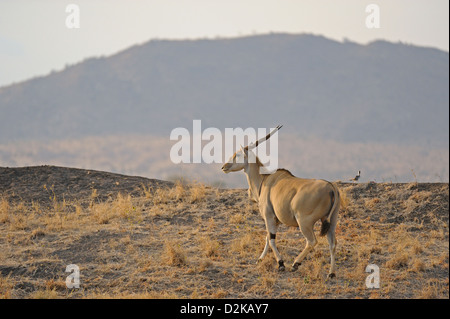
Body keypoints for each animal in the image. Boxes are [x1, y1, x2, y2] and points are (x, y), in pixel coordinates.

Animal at [221, 125, 342, 278]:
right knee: (333, 243)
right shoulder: (275, 220)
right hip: (332, 221)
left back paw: (295, 263)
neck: (264, 179)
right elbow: (268, 237)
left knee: (312, 241)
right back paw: (331, 273)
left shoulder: (269, 217)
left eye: (237, 155)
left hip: (304, 222)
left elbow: (272, 239)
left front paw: (281, 263)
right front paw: (260, 259)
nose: (224, 166)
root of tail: (331, 187)